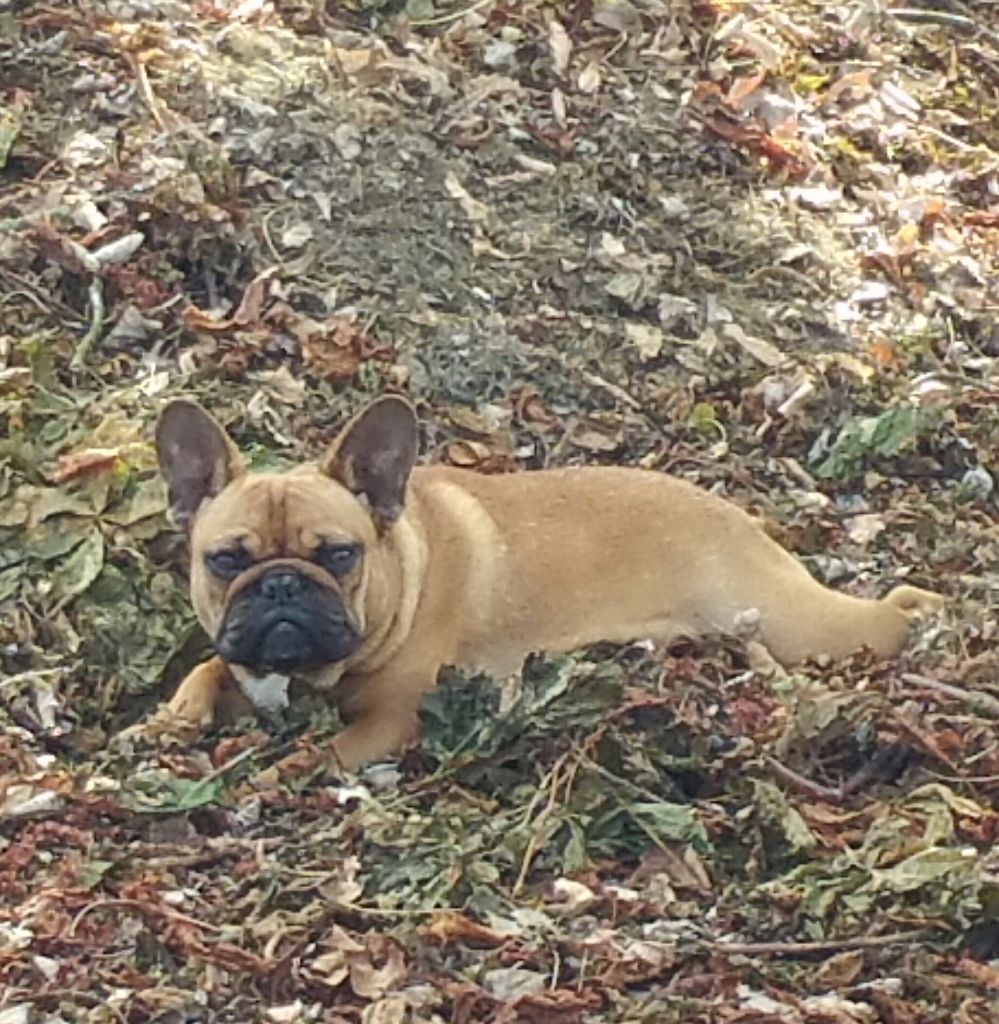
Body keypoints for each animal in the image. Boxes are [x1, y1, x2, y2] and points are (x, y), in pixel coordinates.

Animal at [133, 395, 945, 770]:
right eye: (225, 560)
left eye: (337, 554)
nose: (280, 588)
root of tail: (734, 514)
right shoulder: (249, 662)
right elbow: (211, 666)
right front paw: (171, 719)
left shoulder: (392, 720)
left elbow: (329, 749)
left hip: (799, 621)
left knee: (889, 616)